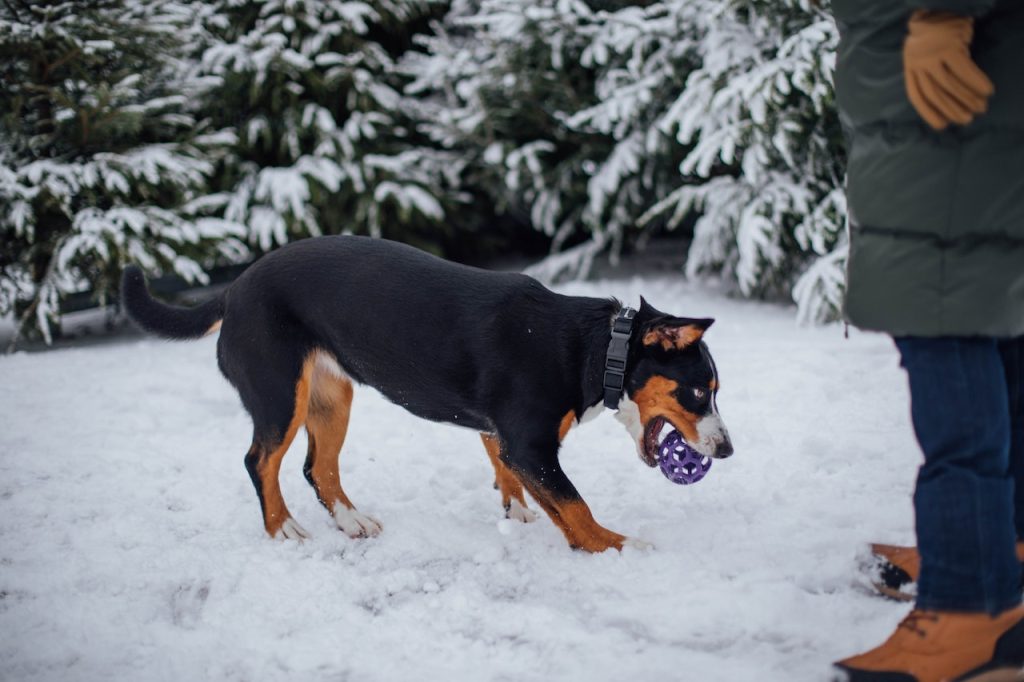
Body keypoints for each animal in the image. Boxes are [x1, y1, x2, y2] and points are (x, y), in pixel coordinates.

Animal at [123, 236, 733, 548]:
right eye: (698, 391)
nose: (727, 450)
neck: (595, 347)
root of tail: (234, 288)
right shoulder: (532, 444)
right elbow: (575, 506)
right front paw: (615, 545)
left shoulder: (503, 436)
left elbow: (514, 479)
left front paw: (518, 513)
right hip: (279, 395)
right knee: (259, 461)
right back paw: (283, 529)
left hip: (330, 397)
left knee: (317, 468)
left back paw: (351, 522)